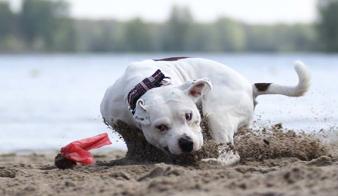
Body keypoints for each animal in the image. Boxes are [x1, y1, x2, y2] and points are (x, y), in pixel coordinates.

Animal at [99, 57, 308, 165]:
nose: (186, 142)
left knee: (230, 153)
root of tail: (249, 86)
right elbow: (131, 137)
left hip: (217, 115)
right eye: (161, 127)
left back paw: (213, 161)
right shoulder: (117, 120)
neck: (147, 84)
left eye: (189, 115)